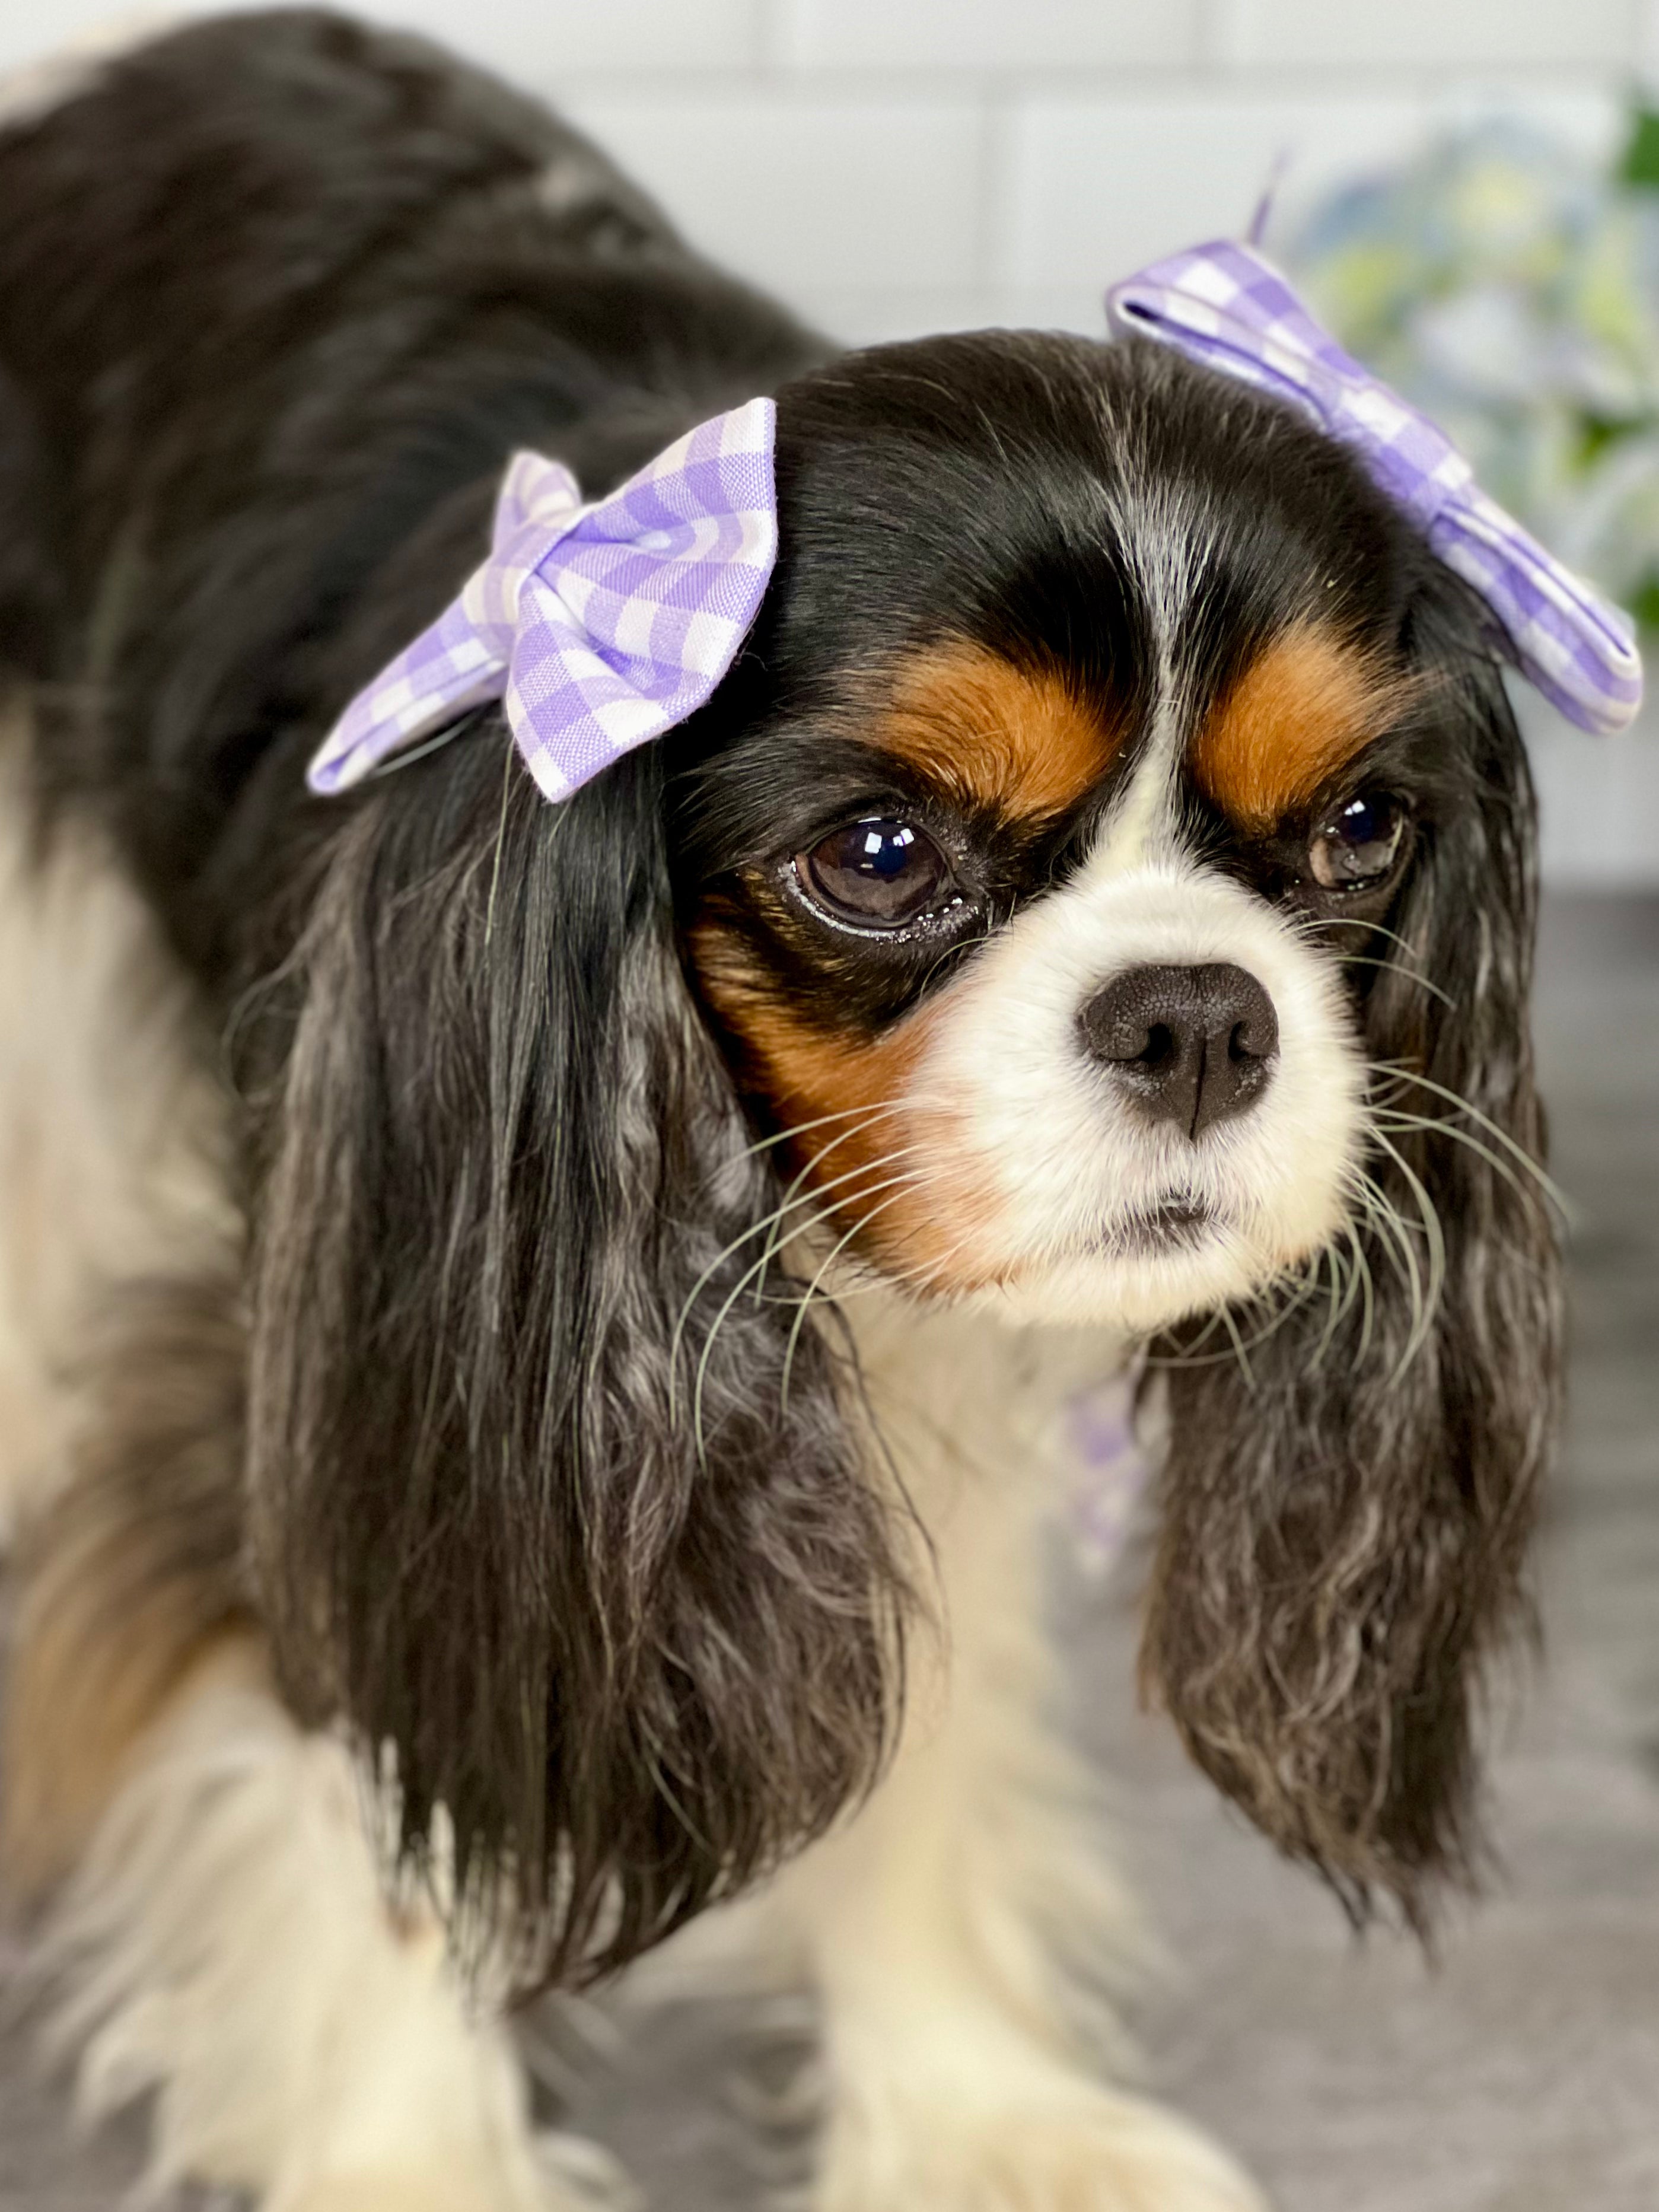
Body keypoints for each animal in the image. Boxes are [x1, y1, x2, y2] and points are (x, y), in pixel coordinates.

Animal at [0, 17, 1575, 2212]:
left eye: (1358, 824)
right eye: (880, 851)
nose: (1198, 1014)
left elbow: (919, 1734)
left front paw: (969, 2109)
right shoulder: (346, 1361)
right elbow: (374, 1794)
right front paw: (420, 2159)